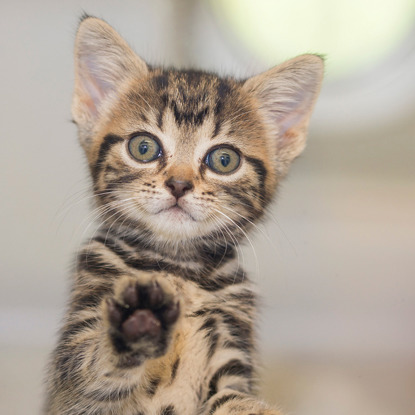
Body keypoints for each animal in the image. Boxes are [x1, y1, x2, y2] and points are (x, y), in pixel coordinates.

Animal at [45, 16, 324, 415]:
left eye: (224, 159)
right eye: (143, 147)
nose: (178, 184)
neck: (178, 268)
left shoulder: (230, 356)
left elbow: (235, 400)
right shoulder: (75, 390)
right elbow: (93, 368)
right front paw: (137, 319)